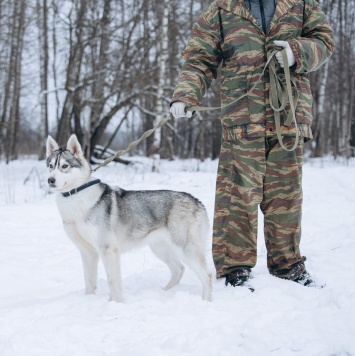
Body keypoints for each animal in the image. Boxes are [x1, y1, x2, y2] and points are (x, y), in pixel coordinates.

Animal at [44, 135, 211, 302]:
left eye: (65, 166)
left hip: (185, 250)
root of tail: (196, 200)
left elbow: (112, 281)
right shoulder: (87, 252)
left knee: (207, 275)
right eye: (51, 166)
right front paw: (88, 300)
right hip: (160, 248)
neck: (75, 197)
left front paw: (116, 302)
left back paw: (206, 300)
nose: (50, 180)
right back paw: (165, 292)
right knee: (179, 269)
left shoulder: (108, 250)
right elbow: (89, 282)